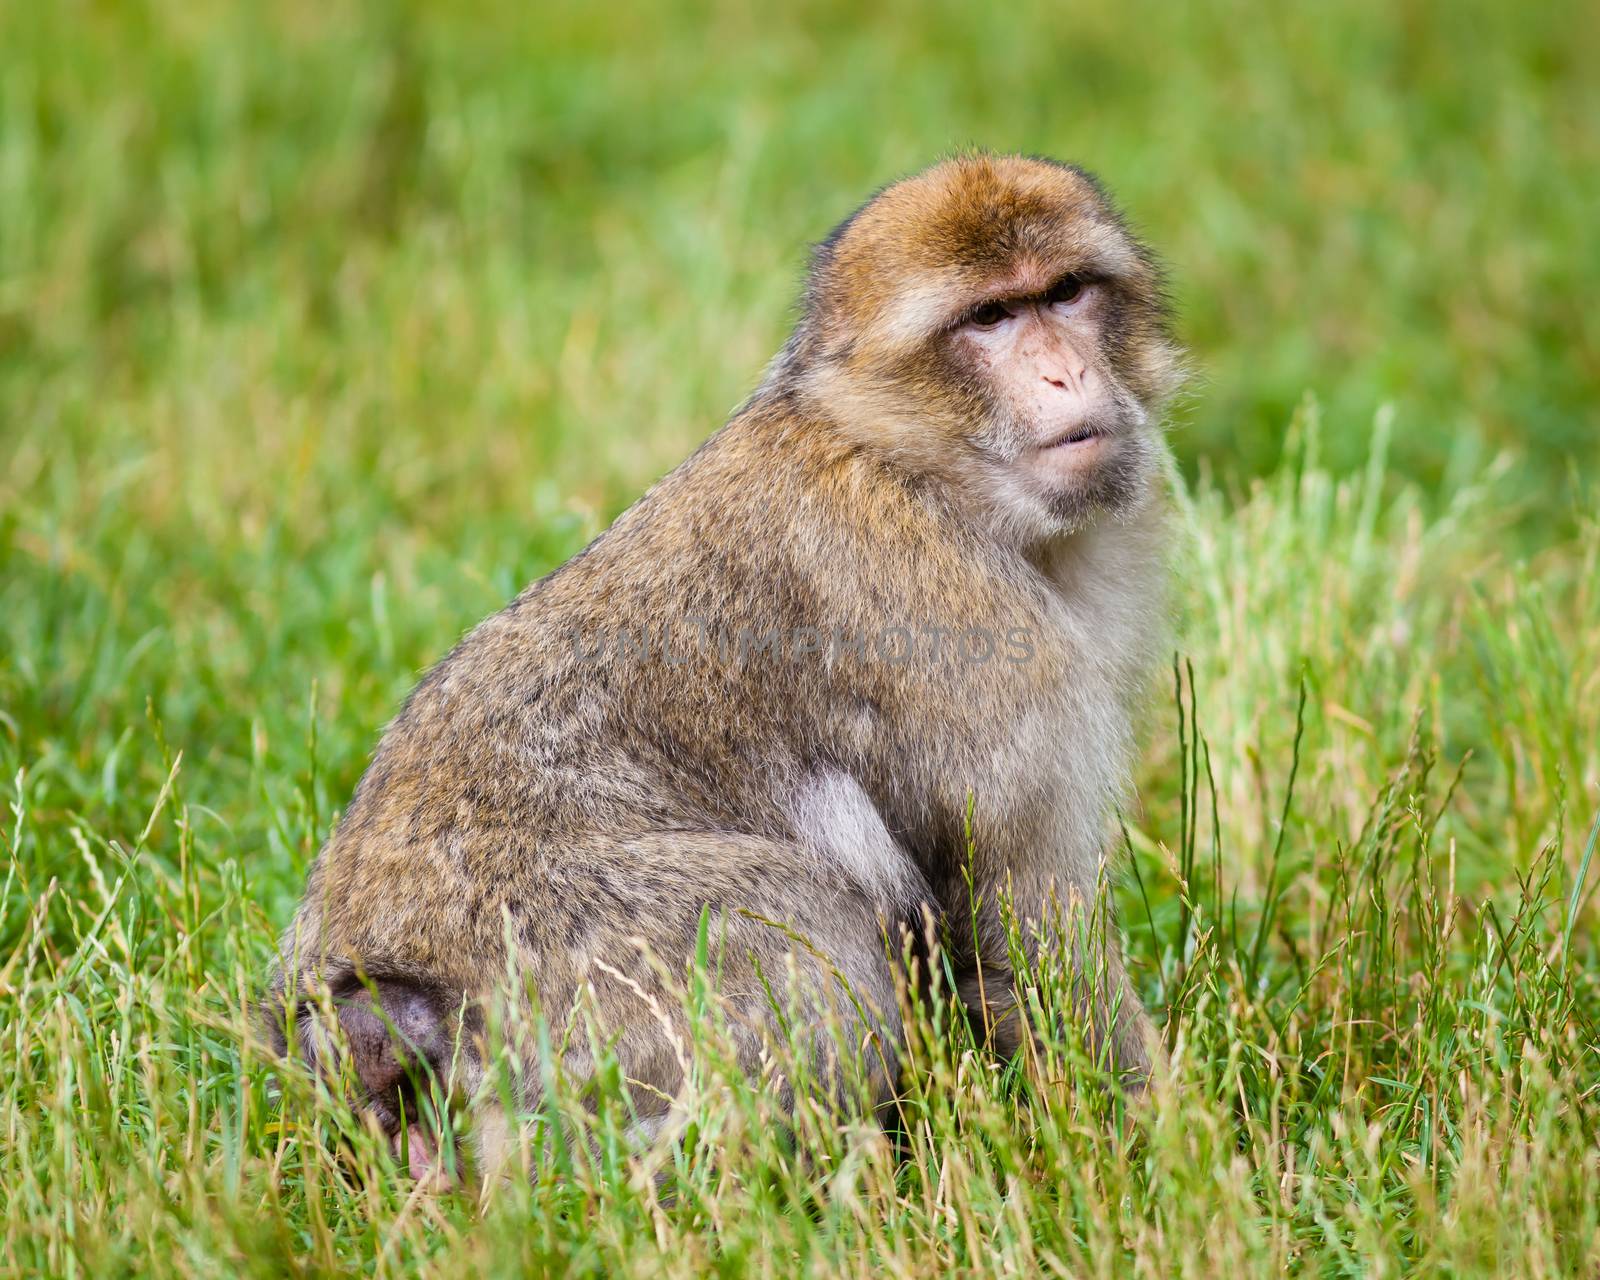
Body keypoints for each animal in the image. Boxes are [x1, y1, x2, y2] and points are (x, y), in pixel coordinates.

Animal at [265, 150, 1190, 1177]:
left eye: (1064, 292)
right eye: (990, 317)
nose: (1067, 373)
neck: (914, 464)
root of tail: (361, 999)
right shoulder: (977, 640)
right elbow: (1021, 913)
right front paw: (1172, 1145)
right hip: (575, 970)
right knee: (809, 934)